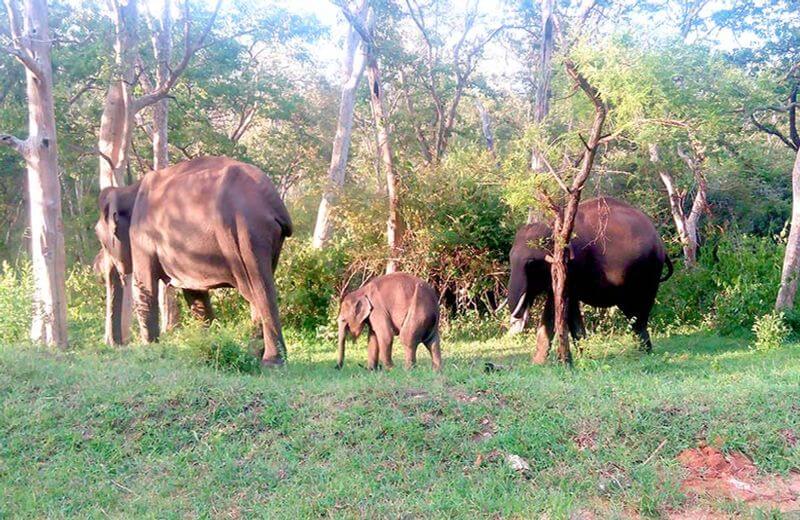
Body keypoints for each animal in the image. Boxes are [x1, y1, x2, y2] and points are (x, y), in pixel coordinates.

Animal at [94, 156, 292, 364]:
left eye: (99, 236)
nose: (117, 346)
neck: (130, 189)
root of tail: (272, 203)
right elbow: (195, 296)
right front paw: (210, 345)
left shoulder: (141, 237)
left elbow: (144, 289)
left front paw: (149, 351)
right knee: (257, 291)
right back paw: (253, 356)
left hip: (244, 233)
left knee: (258, 290)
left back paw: (271, 362)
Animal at [510, 195, 672, 362]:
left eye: (531, 264)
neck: (554, 226)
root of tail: (660, 243)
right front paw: (540, 362)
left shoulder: (571, 267)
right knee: (631, 312)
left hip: (649, 271)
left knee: (640, 310)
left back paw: (645, 352)